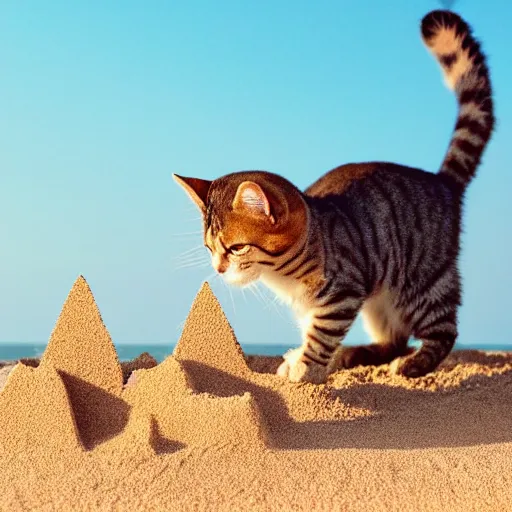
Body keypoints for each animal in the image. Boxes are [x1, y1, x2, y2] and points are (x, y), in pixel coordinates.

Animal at [174, 10, 494, 382]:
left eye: (236, 248)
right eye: (209, 248)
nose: (219, 268)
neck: (282, 273)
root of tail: (440, 181)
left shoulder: (342, 292)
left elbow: (322, 332)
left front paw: (307, 365)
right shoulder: (316, 304)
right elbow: (310, 328)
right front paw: (303, 358)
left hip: (420, 281)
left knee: (444, 329)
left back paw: (415, 363)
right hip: (381, 300)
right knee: (395, 339)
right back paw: (356, 354)